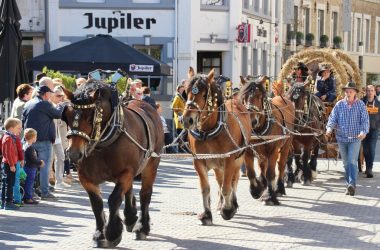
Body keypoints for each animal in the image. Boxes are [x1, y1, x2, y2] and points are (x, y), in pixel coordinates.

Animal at [61, 79, 164, 247]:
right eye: (67, 116)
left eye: (90, 117)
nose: (74, 153)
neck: (104, 144)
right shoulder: (85, 178)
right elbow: (96, 203)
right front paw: (99, 234)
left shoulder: (126, 172)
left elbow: (114, 199)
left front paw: (112, 232)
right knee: (129, 190)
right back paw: (130, 217)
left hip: (151, 164)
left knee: (145, 194)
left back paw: (142, 226)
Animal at [182, 68, 251, 225]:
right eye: (186, 92)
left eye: (204, 94)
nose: (187, 120)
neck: (208, 131)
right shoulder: (199, 161)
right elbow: (205, 188)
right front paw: (207, 214)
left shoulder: (229, 160)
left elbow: (227, 187)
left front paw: (228, 210)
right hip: (217, 164)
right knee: (220, 180)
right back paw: (220, 204)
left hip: (238, 159)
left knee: (233, 180)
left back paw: (232, 203)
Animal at [239, 76, 296, 205]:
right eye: (243, 97)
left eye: (259, 96)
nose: (252, 121)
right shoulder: (248, 151)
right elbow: (251, 172)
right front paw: (256, 190)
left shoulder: (273, 150)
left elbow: (270, 173)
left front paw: (270, 196)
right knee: (262, 166)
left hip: (286, 144)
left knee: (281, 165)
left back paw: (279, 188)